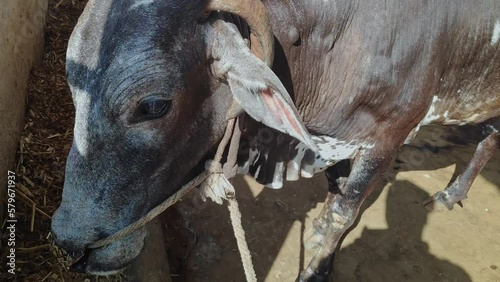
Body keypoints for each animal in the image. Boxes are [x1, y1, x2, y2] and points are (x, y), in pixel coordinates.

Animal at [50, 0, 500, 280]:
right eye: (72, 83)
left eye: (154, 105)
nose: (70, 243)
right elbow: (334, 199)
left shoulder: (389, 137)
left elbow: (341, 214)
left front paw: (316, 270)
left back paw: (451, 193)